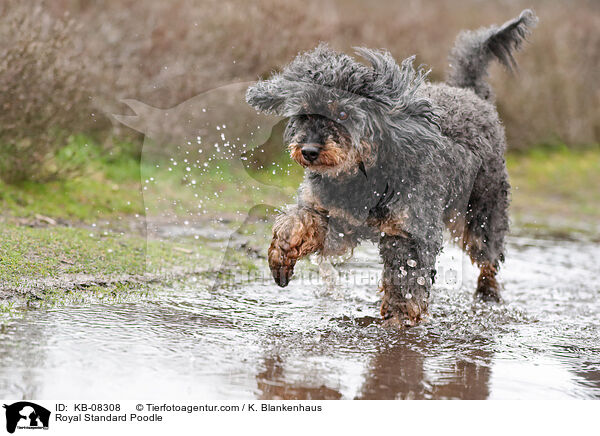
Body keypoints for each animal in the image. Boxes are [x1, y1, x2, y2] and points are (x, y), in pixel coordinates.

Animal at [246, 9, 536, 328]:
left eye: (343, 113)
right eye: (305, 112)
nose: (309, 151)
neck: (360, 177)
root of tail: (470, 93)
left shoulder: (411, 232)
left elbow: (405, 280)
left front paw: (399, 320)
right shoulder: (330, 214)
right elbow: (295, 223)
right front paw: (281, 256)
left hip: (483, 211)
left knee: (488, 258)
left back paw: (488, 296)